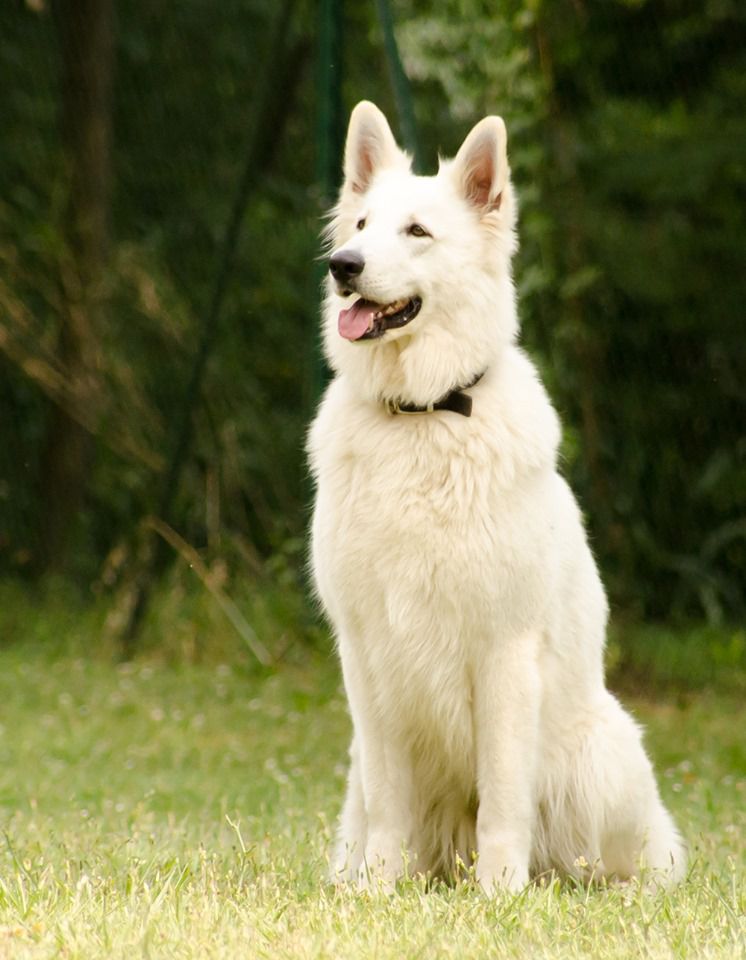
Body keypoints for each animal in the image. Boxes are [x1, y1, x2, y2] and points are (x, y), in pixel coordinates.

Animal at [306, 103, 684, 892]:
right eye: (361, 225)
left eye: (417, 232)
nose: (342, 267)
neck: (422, 417)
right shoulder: (366, 657)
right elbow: (390, 806)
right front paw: (378, 892)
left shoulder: (505, 655)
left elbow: (504, 800)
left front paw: (499, 895)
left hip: (599, 758)